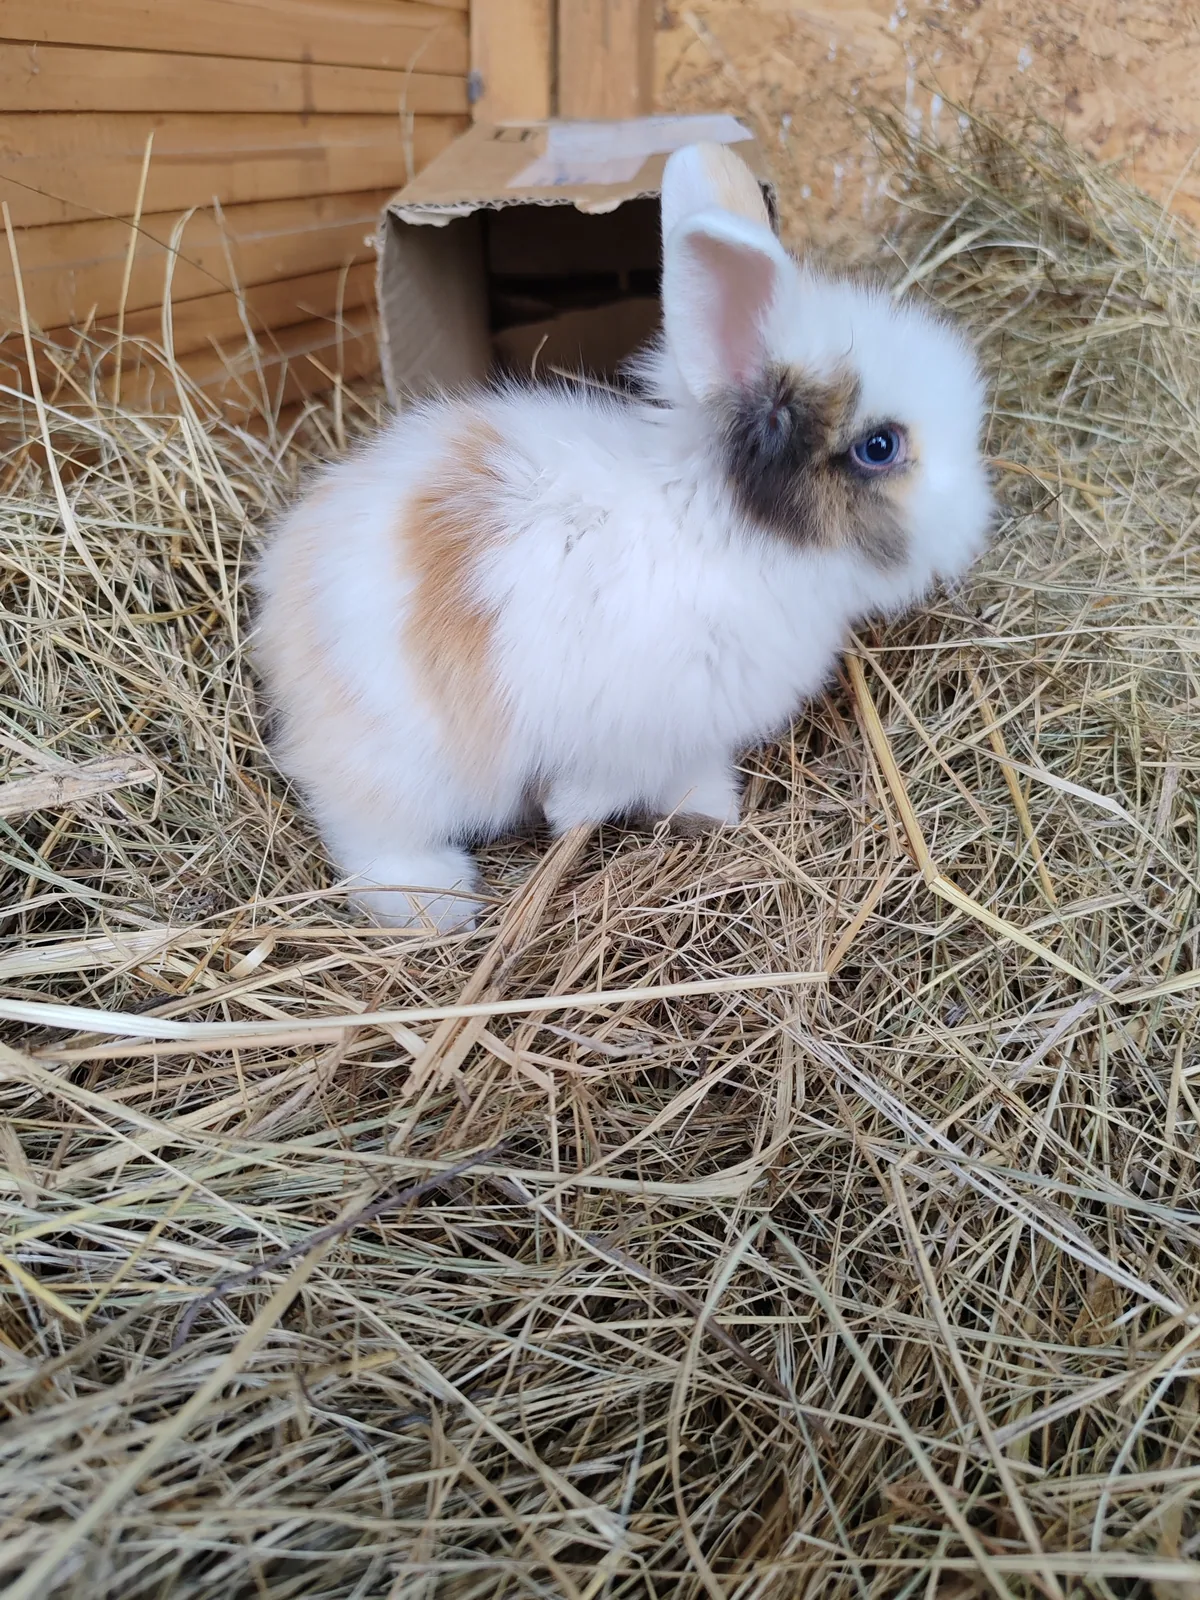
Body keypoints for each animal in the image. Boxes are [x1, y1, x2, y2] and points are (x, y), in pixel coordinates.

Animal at [254, 141, 994, 932]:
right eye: (881, 447)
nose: (978, 518)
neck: (719, 528)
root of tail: (282, 597)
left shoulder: (693, 736)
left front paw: (712, 813)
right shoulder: (636, 729)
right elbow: (603, 785)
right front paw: (571, 813)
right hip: (400, 760)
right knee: (364, 832)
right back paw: (438, 900)